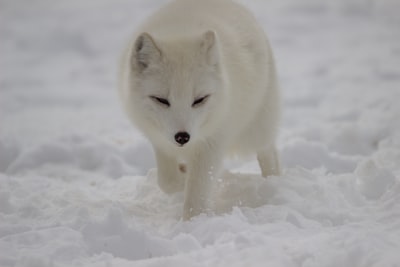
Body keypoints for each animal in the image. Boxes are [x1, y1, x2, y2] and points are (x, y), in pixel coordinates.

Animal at [119, 0, 282, 220]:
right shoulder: (160, 138)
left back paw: (274, 183)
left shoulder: (213, 141)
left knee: (268, 151)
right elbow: (167, 181)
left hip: (255, 129)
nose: (182, 137)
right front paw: (182, 174)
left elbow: (196, 193)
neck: (179, 31)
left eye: (199, 100)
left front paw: (193, 222)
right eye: (161, 100)